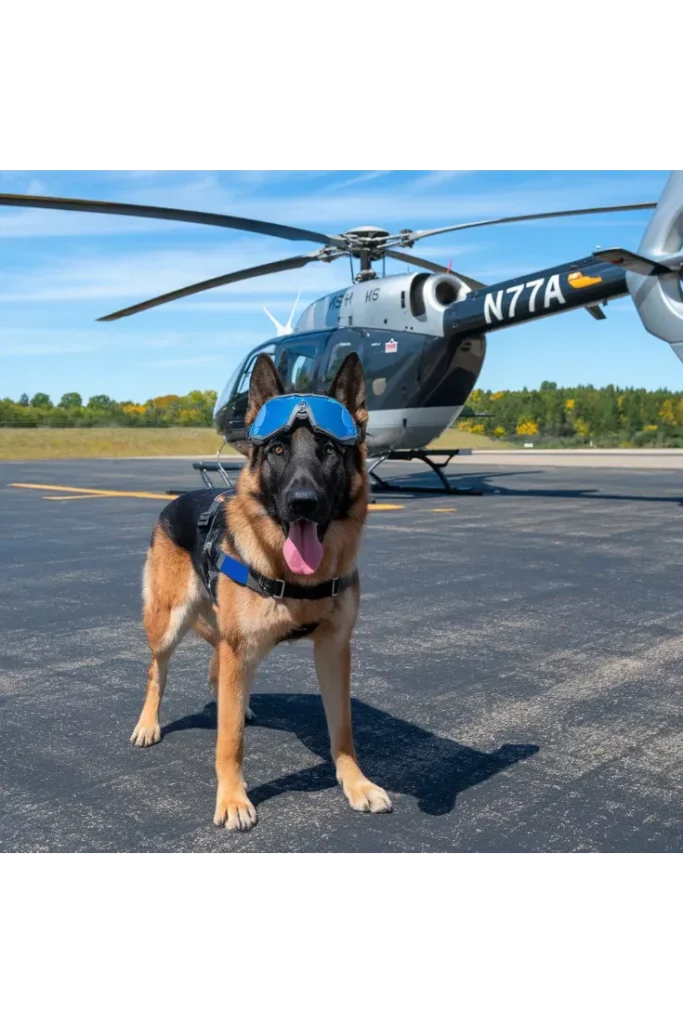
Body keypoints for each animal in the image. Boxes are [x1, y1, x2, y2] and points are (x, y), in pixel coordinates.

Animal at [131, 352, 393, 831]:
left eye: (329, 450)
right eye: (277, 450)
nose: (302, 502)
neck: (297, 577)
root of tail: (177, 501)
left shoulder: (333, 650)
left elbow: (342, 729)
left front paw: (357, 784)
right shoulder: (240, 648)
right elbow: (229, 739)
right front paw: (233, 799)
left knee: (217, 672)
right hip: (168, 623)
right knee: (157, 671)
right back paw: (148, 724)